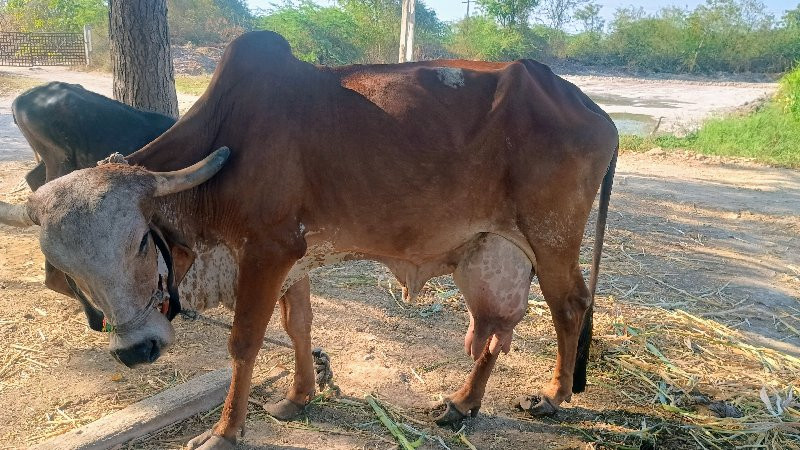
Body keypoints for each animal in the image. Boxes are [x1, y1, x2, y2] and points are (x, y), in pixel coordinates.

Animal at [0, 32, 616, 450]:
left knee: (570, 306)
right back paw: (462, 404)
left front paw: (225, 430)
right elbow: (299, 326)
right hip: (490, 250)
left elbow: (244, 342)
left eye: (138, 244)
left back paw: (553, 397)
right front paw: (299, 397)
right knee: (495, 328)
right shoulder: (294, 257)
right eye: (66, 270)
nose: (137, 351)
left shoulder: (267, 251)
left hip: (552, 239)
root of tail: (594, 109)